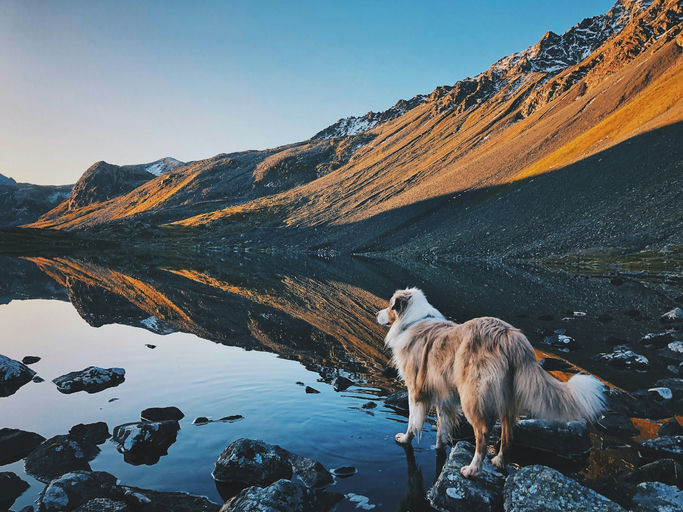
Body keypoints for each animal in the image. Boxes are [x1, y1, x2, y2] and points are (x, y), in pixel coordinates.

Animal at [376, 290, 608, 478]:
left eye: (389, 305)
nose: (376, 314)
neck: (412, 320)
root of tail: (508, 335)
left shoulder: (415, 390)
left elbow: (413, 421)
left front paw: (405, 439)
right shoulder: (443, 393)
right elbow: (443, 426)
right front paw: (439, 447)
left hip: (472, 396)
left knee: (483, 434)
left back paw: (473, 469)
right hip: (506, 398)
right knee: (508, 431)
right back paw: (499, 461)